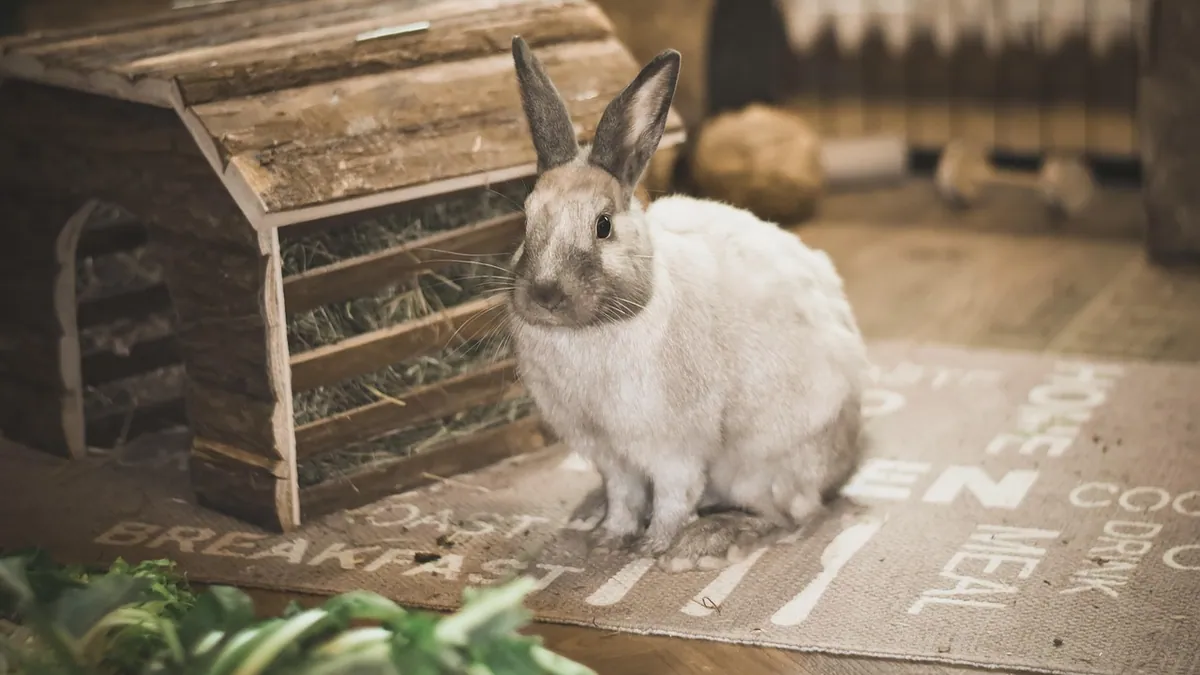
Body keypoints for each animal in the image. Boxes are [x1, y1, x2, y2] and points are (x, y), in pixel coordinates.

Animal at [505, 36, 869, 572]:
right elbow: (623, 498)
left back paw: (707, 542)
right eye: (526, 219)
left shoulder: (672, 448)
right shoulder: (610, 457)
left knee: (788, 515)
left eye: (603, 225)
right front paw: (608, 541)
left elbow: (673, 499)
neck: (591, 332)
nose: (546, 294)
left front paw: (655, 549)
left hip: (761, 463)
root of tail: (848, 458)